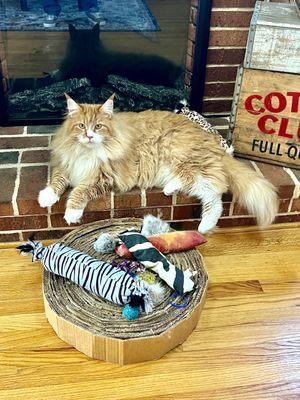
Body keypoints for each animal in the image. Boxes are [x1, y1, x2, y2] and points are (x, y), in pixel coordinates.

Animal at [38, 94, 278, 233]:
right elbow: (57, 180)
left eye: (98, 127)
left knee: (215, 193)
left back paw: (204, 226)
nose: (88, 136)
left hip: (182, 157)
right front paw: (47, 197)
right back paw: (171, 189)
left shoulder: (104, 176)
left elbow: (80, 191)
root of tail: (212, 140)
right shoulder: (66, 163)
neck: (86, 152)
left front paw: (71, 213)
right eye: (81, 126)